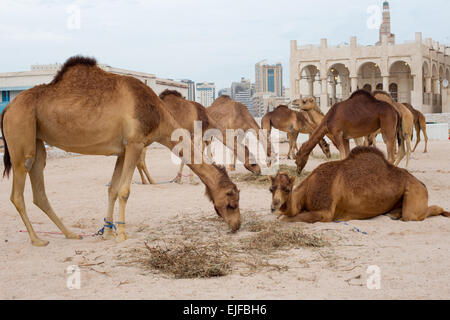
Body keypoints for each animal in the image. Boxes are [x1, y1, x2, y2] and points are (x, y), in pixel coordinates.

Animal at [0, 55, 243, 248]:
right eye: (232, 201)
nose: (237, 225)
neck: (159, 116)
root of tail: (8, 107)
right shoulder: (135, 144)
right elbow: (125, 191)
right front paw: (123, 234)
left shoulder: (122, 151)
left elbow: (113, 189)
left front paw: (107, 232)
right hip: (21, 131)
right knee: (18, 191)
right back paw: (37, 239)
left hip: (37, 140)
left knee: (39, 189)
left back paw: (70, 234)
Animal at [270, 147, 450, 222]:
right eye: (271, 189)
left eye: (287, 189)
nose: (274, 205)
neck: (307, 192)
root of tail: (421, 183)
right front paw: (279, 214)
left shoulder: (325, 212)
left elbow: (292, 218)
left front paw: (282, 217)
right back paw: (394, 214)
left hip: (414, 190)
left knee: (412, 215)